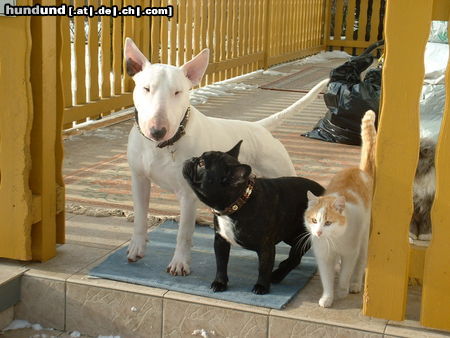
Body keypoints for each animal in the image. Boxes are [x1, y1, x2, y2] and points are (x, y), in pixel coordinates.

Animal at [306, 109, 376, 308]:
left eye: (328, 222)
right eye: (314, 220)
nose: (319, 232)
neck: (333, 241)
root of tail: (360, 171)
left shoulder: (350, 253)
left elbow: (346, 272)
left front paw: (343, 290)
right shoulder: (324, 257)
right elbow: (327, 279)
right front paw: (327, 298)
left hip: (364, 241)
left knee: (359, 266)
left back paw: (355, 285)